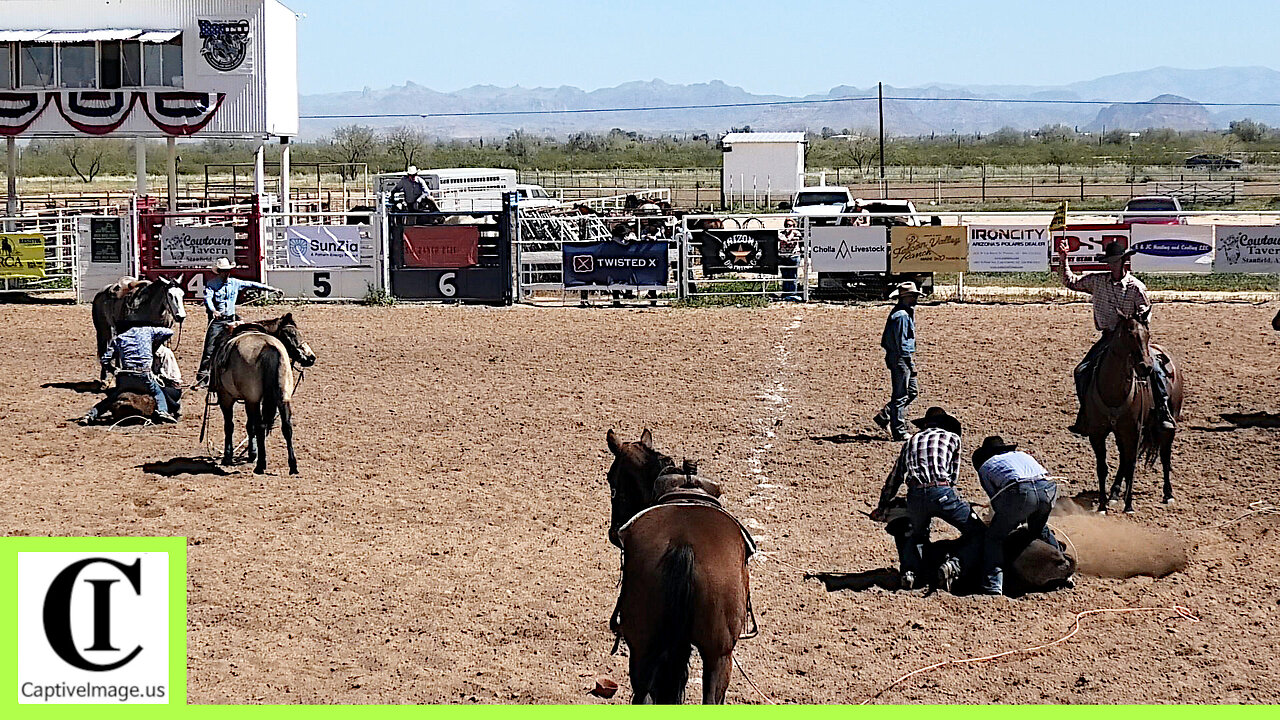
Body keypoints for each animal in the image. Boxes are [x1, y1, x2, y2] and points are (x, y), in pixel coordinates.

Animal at [211, 311, 316, 474]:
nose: (311, 358)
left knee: (259, 426)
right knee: (286, 426)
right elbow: (249, 426)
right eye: (290, 334)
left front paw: (228, 457)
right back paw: (293, 466)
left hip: (252, 400)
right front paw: (251, 454)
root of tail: (268, 347)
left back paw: (261, 465)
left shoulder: (227, 398)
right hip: (282, 398)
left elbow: (230, 425)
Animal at [1075, 311, 1182, 512]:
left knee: (1164, 456)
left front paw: (1129, 506)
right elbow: (1103, 467)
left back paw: (1168, 494)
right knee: (1123, 459)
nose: (1146, 367)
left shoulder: (1133, 431)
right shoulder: (1097, 434)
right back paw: (1114, 495)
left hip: (1168, 424)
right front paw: (1102, 506)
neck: (1113, 392)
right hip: (1120, 433)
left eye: (1147, 334)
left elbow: (1131, 465)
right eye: (1129, 335)